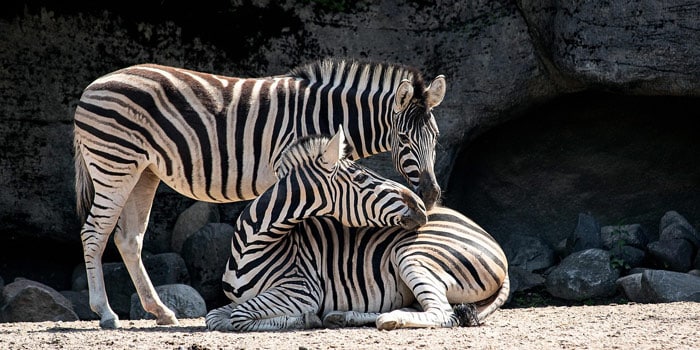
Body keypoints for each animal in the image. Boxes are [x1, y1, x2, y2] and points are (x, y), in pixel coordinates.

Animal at [74, 57, 446, 328]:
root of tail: (91, 87)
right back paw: (106, 313)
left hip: (143, 171)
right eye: (404, 139)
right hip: (114, 163)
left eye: (437, 137)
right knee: (94, 233)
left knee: (128, 238)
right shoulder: (291, 168)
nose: (430, 196)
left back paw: (161, 312)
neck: (327, 115)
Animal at [205, 128, 506, 330]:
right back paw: (342, 315)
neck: (252, 244)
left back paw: (388, 319)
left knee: (443, 313)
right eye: (362, 177)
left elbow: (238, 317)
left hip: (413, 255)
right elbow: (215, 317)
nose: (423, 205)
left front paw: (305, 318)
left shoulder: (301, 290)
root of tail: (494, 242)